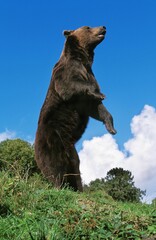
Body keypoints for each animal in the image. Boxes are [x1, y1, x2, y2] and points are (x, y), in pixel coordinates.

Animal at [34, 25, 116, 191]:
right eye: (88, 27)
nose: (103, 26)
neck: (83, 60)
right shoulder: (66, 72)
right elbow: (71, 85)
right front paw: (100, 94)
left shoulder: (88, 78)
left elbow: (95, 108)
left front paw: (111, 127)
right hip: (51, 140)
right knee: (53, 167)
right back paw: (58, 187)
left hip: (71, 150)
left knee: (75, 168)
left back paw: (78, 188)